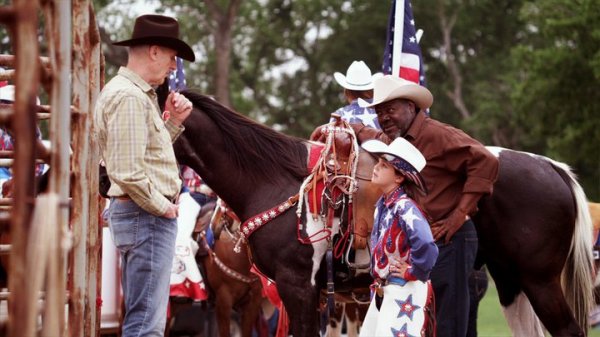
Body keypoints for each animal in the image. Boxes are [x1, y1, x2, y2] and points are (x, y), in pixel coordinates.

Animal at [173, 90, 596, 336]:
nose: (217, 227)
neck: (273, 179)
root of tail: (552, 167)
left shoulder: (297, 287)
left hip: (539, 281)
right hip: (511, 283)